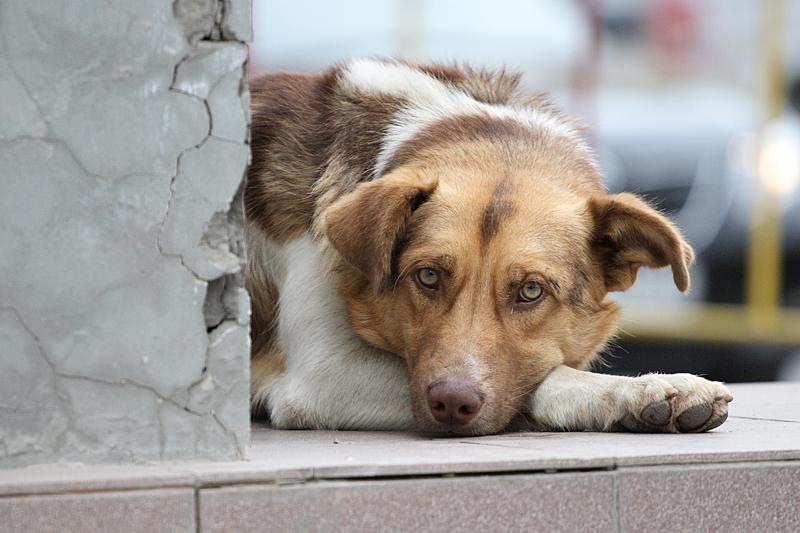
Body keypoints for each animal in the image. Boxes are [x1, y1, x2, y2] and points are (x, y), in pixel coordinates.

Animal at [247, 58, 736, 434]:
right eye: (428, 276)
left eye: (532, 291)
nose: (451, 403)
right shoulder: (322, 376)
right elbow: (546, 381)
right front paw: (634, 390)